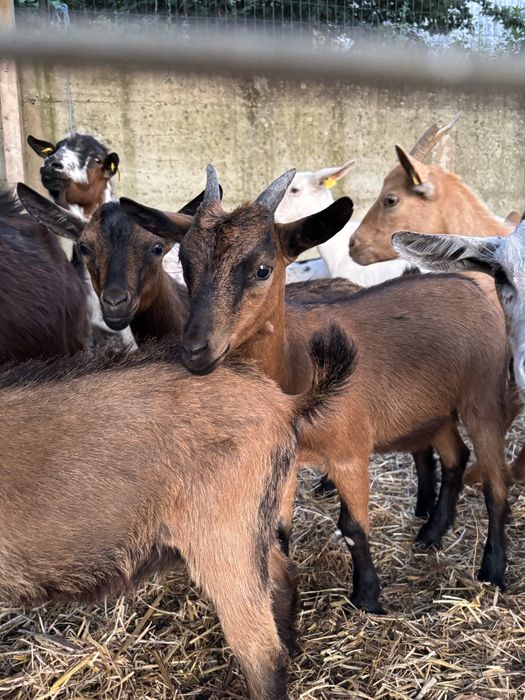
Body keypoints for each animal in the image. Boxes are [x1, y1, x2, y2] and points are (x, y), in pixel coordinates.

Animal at [0, 323, 354, 700]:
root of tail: (283, 402)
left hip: (223, 541)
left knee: (261, 651)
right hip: (251, 530)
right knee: (282, 577)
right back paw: (293, 645)